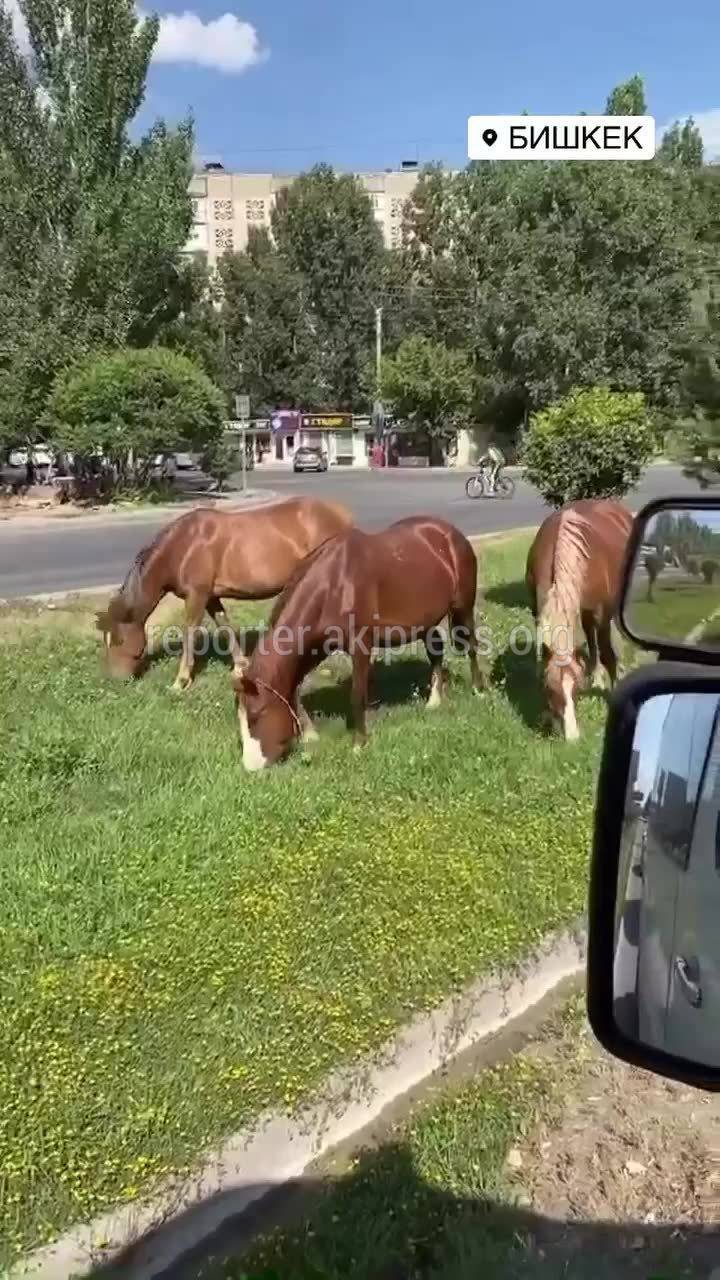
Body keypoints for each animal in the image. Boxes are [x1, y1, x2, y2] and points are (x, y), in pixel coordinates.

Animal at [95, 496, 353, 691]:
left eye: (118, 639)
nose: (115, 679)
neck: (184, 546)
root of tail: (342, 515)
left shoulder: (197, 596)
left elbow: (190, 632)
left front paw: (180, 682)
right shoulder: (211, 597)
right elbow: (224, 626)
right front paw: (241, 667)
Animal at [233, 517, 484, 768]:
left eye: (257, 715)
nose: (251, 767)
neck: (333, 585)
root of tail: (449, 531)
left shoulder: (360, 646)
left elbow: (356, 695)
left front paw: (358, 744)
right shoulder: (315, 648)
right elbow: (294, 688)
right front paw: (310, 735)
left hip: (463, 607)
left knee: (471, 646)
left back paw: (478, 689)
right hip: (426, 621)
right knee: (436, 650)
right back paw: (434, 700)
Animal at [520, 496, 632, 742]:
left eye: (577, 690)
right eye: (550, 689)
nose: (572, 738)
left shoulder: (601, 615)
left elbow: (608, 656)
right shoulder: (538, 611)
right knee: (590, 639)